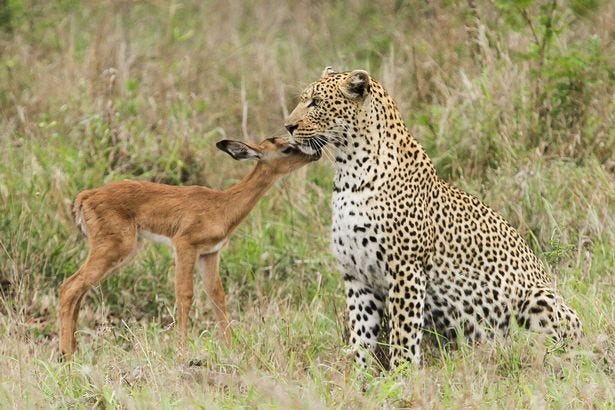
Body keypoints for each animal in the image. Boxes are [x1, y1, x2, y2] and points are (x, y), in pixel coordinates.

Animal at [58, 136, 320, 358]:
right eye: (287, 148)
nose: (316, 153)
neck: (222, 206)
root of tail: (85, 196)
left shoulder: (210, 253)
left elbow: (217, 295)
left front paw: (230, 347)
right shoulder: (185, 245)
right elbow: (185, 294)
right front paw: (182, 351)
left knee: (78, 290)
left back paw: (72, 352)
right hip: (115, 248)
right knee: (69, 286)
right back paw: (67, 356)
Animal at [284, 66, 584, 368]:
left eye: (315, 103)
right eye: (303, 100)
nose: (288, 127)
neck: (348, 173)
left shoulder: (405, 269)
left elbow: (403, 334)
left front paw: (401, 374)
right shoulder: (356, 276)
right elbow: (361, 334)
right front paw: (362, 374)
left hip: (540, 298)